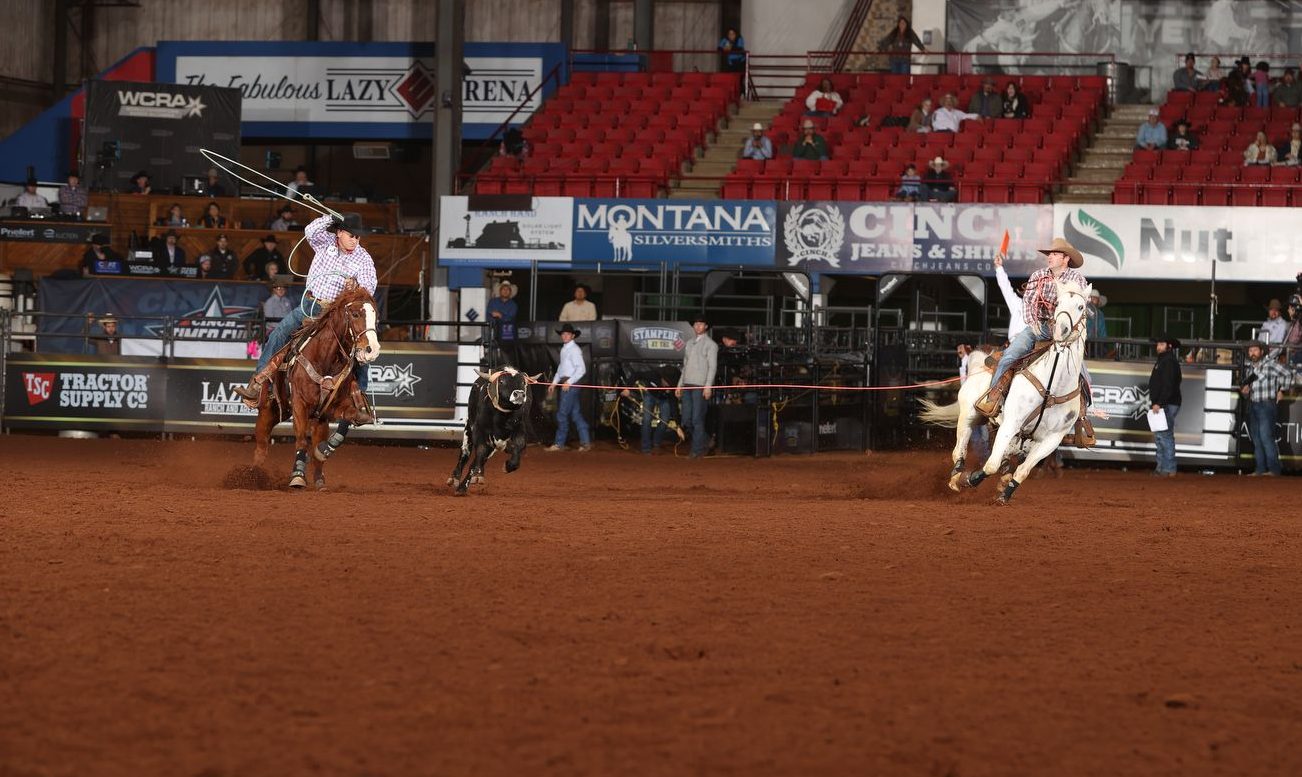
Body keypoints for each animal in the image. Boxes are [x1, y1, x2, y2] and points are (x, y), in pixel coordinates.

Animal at [249, 285, 380, 486]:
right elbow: (302, 440)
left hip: (314, 419)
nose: (372, 350)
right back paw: (252, 476)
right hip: (270, 410)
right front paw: (297, 476)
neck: (325, 358)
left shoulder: (333, 408)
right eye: (356, 314)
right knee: (261, 447)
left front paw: (324, 450)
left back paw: (319, 479)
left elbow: (346, 423)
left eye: (376, 316)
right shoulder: (299, 405)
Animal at [921, 278, 1093, 502]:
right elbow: (990, 465)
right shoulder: (1011, 422)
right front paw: (969, 479)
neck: (1051, 388)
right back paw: (957, 477)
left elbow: (1022, 471)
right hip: (969, 415)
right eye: (1058, 303)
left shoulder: (1052, 439)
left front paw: (1005, 493)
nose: (1061, 330)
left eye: (1081, 307)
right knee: (959, 449)